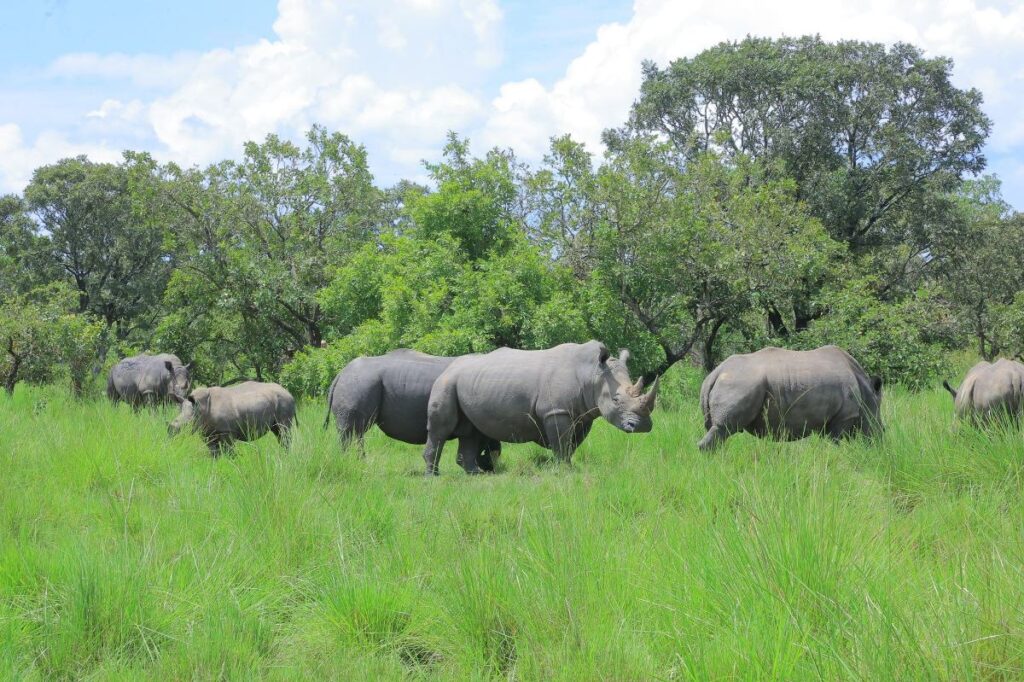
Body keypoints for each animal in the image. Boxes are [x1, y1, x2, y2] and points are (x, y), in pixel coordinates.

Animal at [323, 349, 501, 471]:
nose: (491, 469)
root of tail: (341, 373)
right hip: (358, 384)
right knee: (350, 430)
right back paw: (347, 461)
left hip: (359, 384)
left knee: (358, 430)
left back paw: (359, 462)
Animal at [422, 341, 658, 475]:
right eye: (616, 400)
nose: (643, 427)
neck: (592, 374)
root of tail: (449, 366)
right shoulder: (557, 411)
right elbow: (561, 443)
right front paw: (565, 471)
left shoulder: (582, 414)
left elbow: (570, 444)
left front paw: (567, 466)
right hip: (446, 382)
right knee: (441, 431)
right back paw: (433, 476)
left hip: (467, 384)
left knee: (471, 431)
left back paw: (474, 474)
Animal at [698, 345, 883, 450]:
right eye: (876, 419)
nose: (882, 433)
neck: (866, 391)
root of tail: (716, 373)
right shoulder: (844, 416)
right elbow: (835, 443)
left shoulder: (825, 418)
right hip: (739, 383)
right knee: (723, 428)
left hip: (730, 383)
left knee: (717, 429)